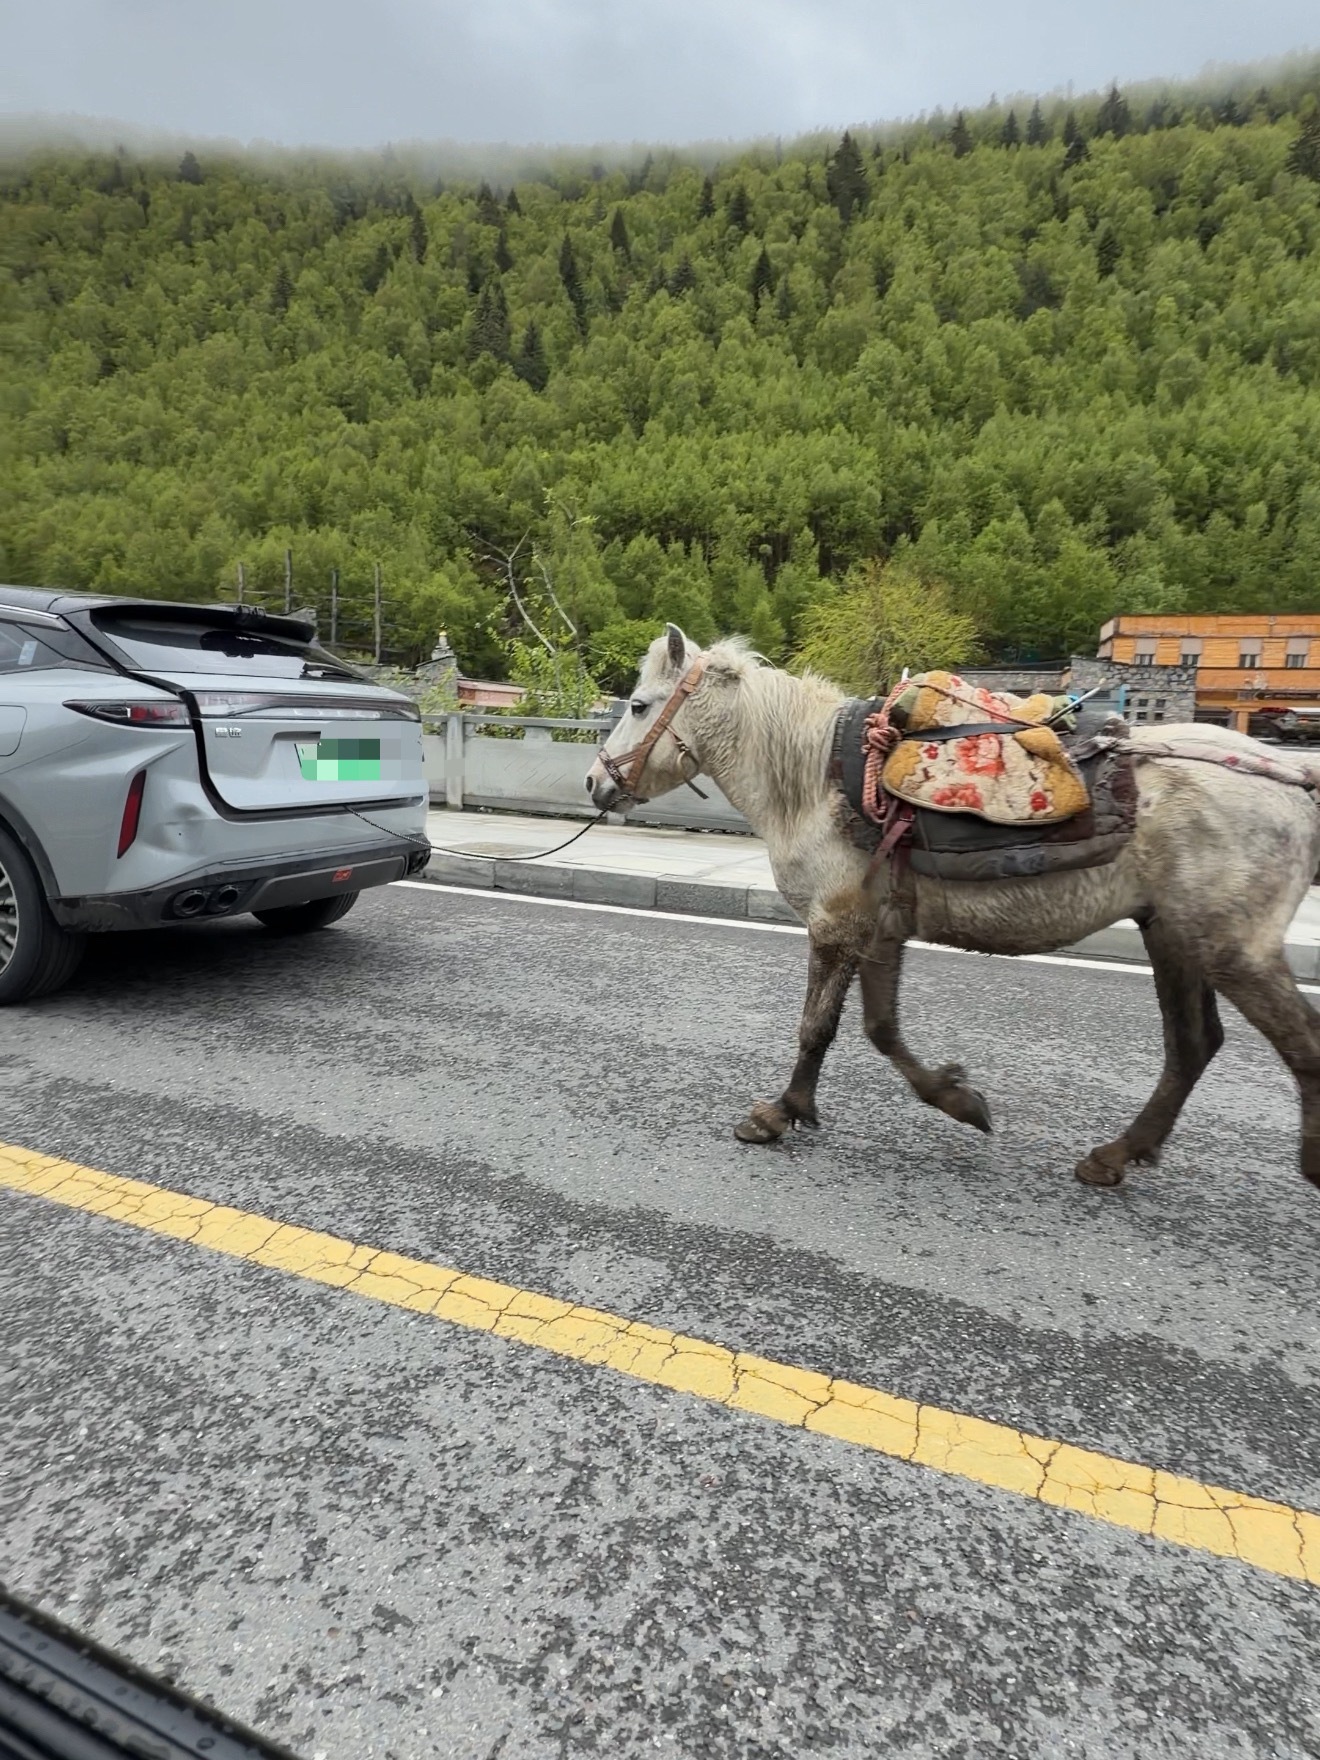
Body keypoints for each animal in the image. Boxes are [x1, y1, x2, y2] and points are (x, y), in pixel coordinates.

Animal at [586, 624, 1320, 1191]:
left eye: (640, 705)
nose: (594, 781)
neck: (817, 782)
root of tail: (1292, 786)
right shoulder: (879, 928)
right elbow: (879, 1029)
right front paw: (958, 1100)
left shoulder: (837, 922)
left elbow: (816, 1027)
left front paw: (779, 1113)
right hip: (1171, 932)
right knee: (1192, 1046)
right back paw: (1116, 1155)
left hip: (1233, 949)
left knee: (1297, 1047)